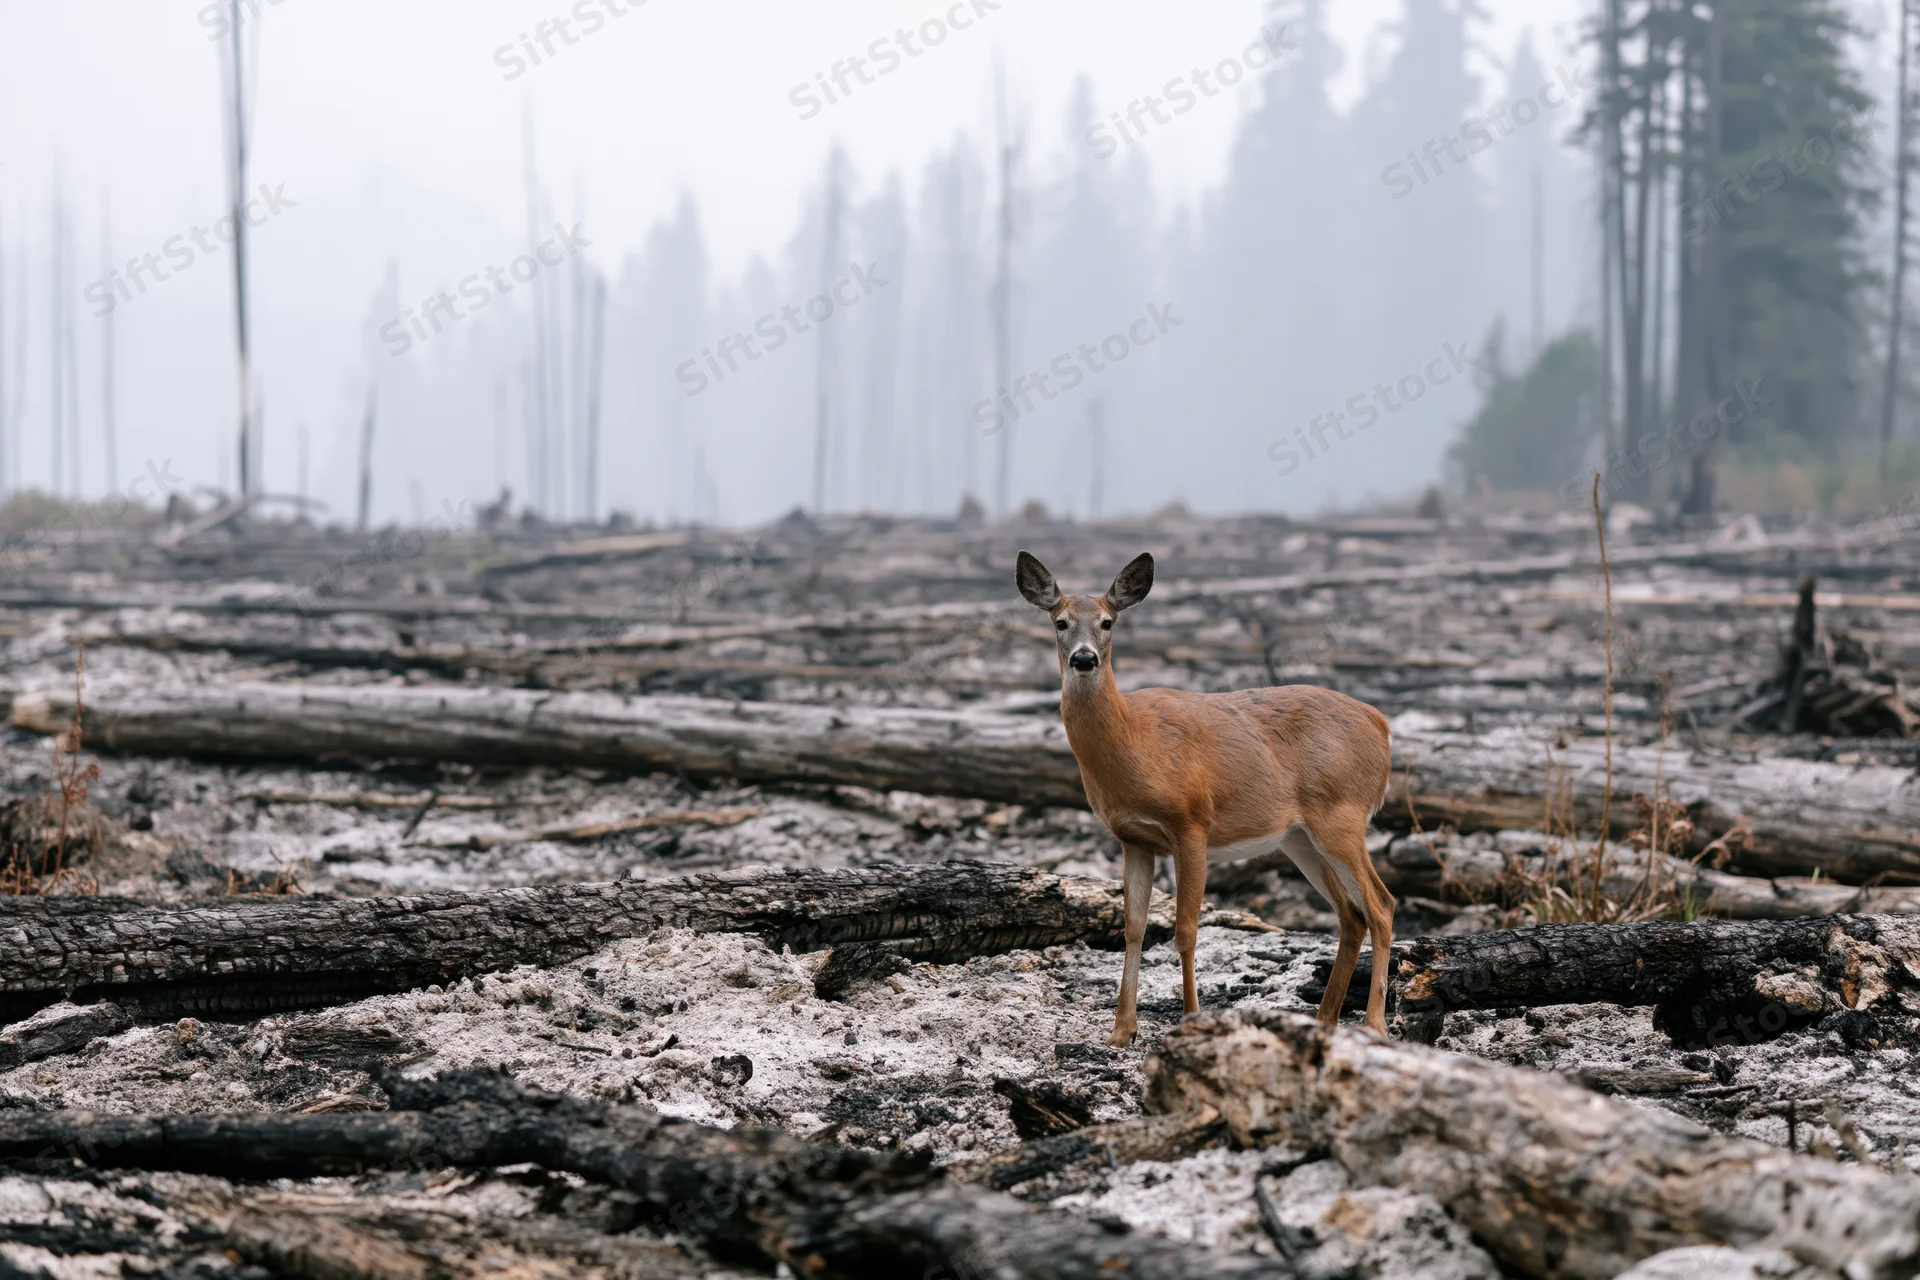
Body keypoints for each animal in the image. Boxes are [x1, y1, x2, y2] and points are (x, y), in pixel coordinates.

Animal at [1015, 550, 1397, 1045]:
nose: (1084, 659)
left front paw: (1191, 1018)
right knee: (1352, 915)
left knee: (1381, 905)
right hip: (1300, 837)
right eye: (1060, 622)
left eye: (1107, 622)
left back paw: (1374, 1025)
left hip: (1343, 814)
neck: (1136, 743)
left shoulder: (1191, 822)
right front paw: (1121, 1031)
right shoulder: (1133, 839)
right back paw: (1325, 1020)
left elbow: (1186, 932)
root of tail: (1381, 724)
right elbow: (1134, 929)